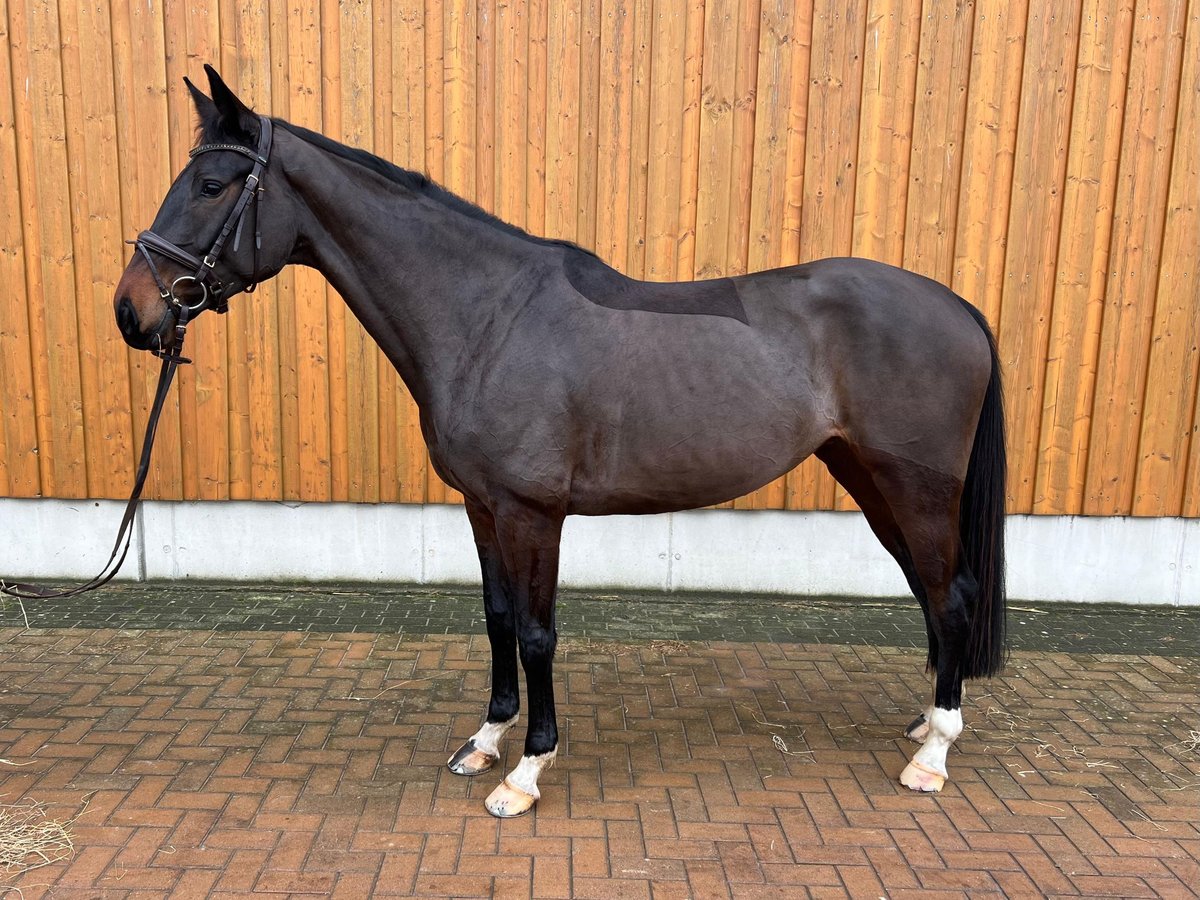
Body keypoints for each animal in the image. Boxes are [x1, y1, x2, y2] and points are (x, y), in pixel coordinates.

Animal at [117, 68, 1008, 816]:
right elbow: (497, 618)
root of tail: (957, 306)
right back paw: (923, 722)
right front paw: (485, 740)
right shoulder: (482, 508)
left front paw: (526, 771)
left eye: (209, 186)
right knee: (930, 592)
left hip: (917, 487)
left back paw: (934, 754)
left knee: (952, 594)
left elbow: (539, 632)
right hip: (868, 478)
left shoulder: (533, 513)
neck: (489, 317)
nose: (133, 312)